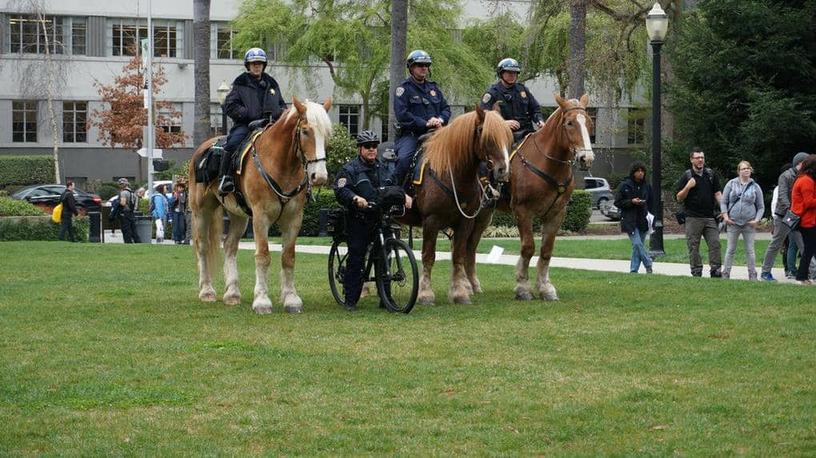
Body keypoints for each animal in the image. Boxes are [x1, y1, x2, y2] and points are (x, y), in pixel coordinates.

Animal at [188, 98, 332, 314]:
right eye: (306, 131)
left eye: (327, 134)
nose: (320, 176)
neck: (281, 165)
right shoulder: (260, 217)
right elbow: (263, 256)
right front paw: (262, 300)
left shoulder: (293, 218)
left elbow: (288, 257)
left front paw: (291, 298)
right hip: (201, 211)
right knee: (202, 246)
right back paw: (207, 290)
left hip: (238, 215)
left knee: (230, 246)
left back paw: (232, 293)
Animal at [400, 107, 512, 306]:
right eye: (484, 133)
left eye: (507, 135)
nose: (503, 170)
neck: (448, 172)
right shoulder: (431, 221)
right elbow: (428, 256)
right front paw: (426, 294)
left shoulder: (465, 222)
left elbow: (459, 255)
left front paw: (460, 292)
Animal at [472, 93, 592, 300]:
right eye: (569, 123)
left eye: (589, 123)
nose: (587, 158)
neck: (547, 164)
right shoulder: (523, 212)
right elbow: (528, 248)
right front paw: (523, 286)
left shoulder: (557, 213)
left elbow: (546, 250)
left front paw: (545, 287)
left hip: (483, 215)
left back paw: (472, 284)